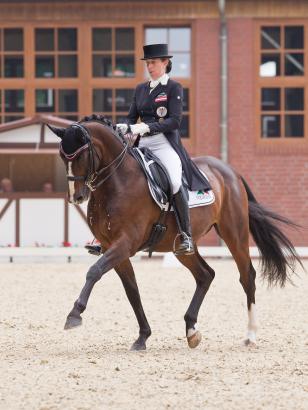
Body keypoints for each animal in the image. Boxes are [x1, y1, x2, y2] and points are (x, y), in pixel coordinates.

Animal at [47, 116, 300, 352]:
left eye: (80, 156)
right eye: (62, 156)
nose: (76, 197)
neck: (117, 182)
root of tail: (230, 171)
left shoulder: (125, 243)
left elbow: (94, 271)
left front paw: (74, 314)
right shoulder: (112, 247)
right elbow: (132, 290)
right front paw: (143, 336)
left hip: (234, 233)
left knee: (247, 276)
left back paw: (250, 335)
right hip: (180, 247)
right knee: (205, 275)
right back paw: (191, 330)